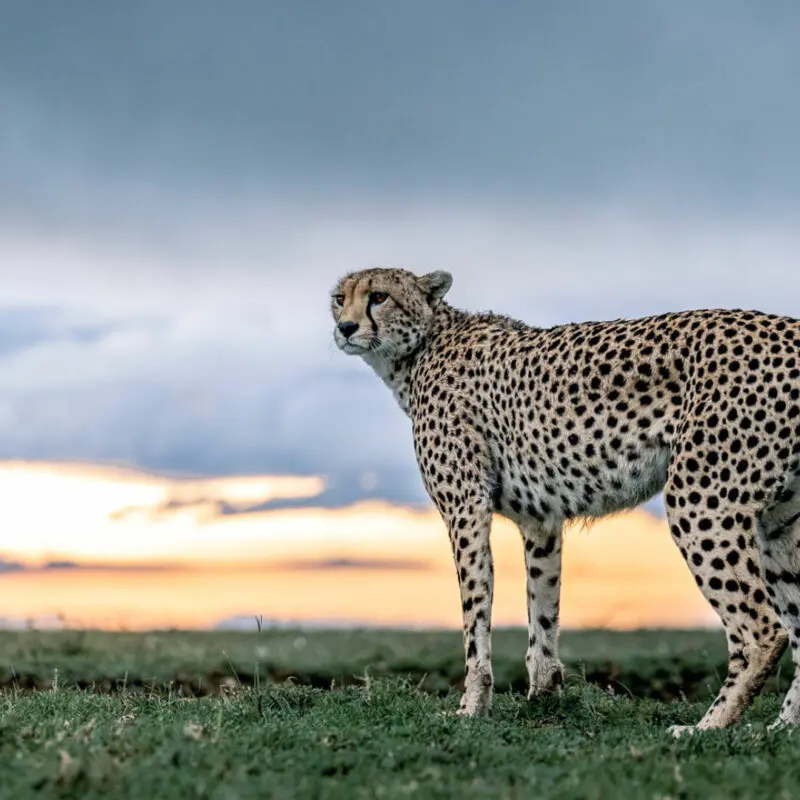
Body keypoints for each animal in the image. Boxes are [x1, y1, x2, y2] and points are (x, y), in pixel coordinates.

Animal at [330, 265, 800, 734]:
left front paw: (471, 707)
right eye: (338, 298)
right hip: (778, 524)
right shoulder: (541, 520)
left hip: (700, 499)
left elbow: (474, 615)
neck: (421, 347)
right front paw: (543, 698)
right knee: (795, 624)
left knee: (763, 630)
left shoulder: (465, 508)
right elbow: (543, 608)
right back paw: (783, 726)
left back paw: (708, 726)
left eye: (378, 296)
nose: (345, 327)